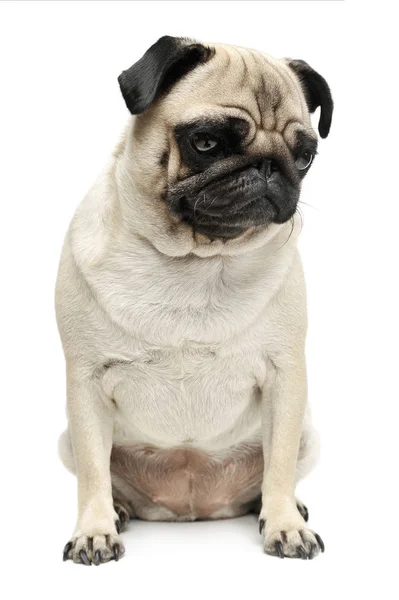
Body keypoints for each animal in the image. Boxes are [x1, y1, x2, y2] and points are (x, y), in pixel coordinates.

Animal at [55, 35, 332, 564]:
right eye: (206, 142)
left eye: (305, 156)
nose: (270, 167)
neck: (195, 261)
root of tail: (193, 505)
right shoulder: (86, 382)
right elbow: (94, 473)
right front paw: (95, 530)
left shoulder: (286, 378)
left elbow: (279, 464)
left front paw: (284, 525)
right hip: (66, 441)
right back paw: (118, 509)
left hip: (309, 434)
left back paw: (281, 508)